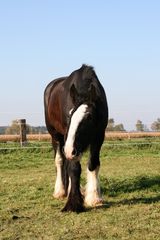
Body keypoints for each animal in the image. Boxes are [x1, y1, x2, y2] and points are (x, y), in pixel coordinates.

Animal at [44, 63, 108, 212]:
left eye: (89, 117)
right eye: (69, 116)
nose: (69, 150)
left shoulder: (98, 137)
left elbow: (93, 164)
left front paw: (94, 197)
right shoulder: (71, 144)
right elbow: (74, 168)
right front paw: (73, 202)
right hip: (56, 137)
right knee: (59, 161)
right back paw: (60, 190)